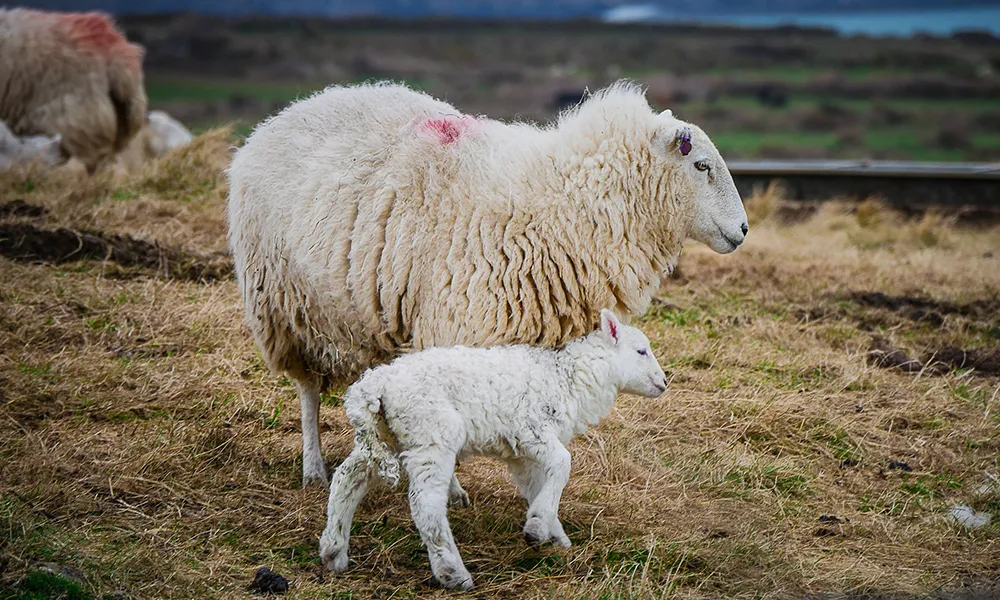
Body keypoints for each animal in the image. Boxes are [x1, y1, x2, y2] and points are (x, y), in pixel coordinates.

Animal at [318, 310, 664, 592]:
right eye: (641, 351)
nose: (664, 381)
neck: (568, 378)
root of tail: (374, 385)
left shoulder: (521, 454)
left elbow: (537, 485)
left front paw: (552, 533)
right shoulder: (530, 430)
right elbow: (563, 463)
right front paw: (538, 526)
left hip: (382, 435)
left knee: (347, 478)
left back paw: (334, 550)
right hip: (432, 433)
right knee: (426, 505)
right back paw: (453, 573)